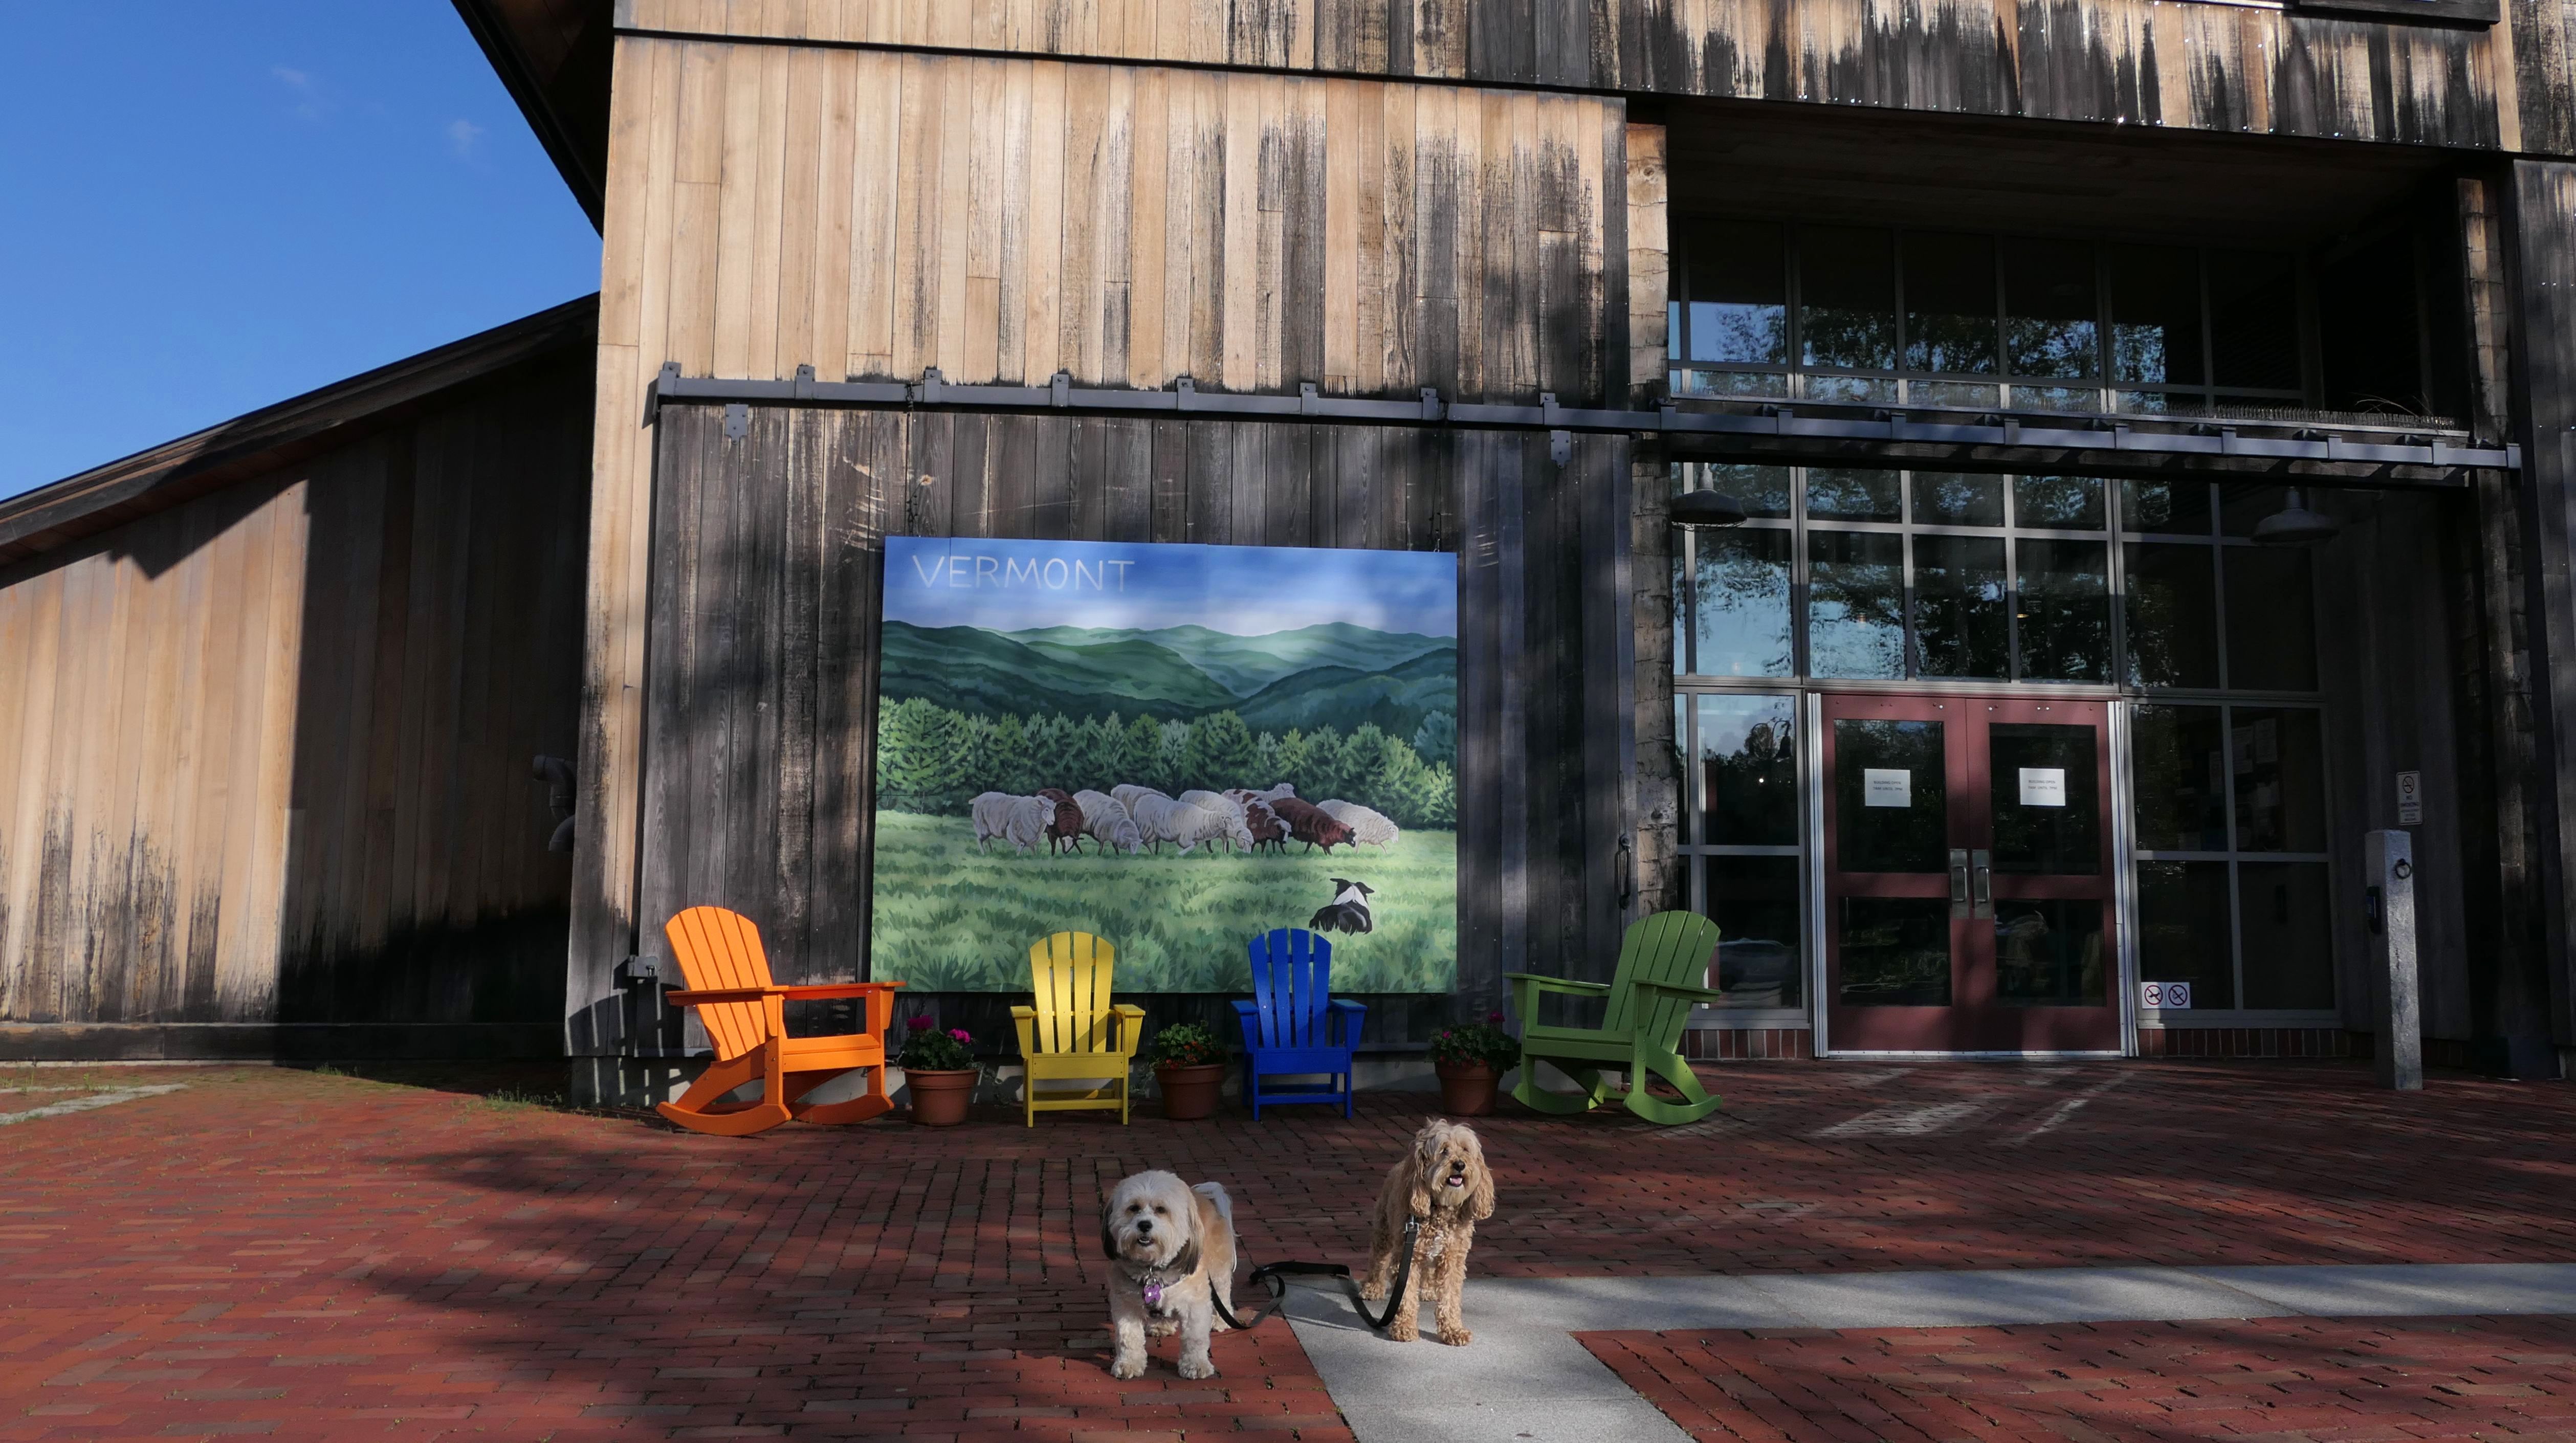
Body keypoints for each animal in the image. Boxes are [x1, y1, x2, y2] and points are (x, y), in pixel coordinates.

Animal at [1074, 789, 1147, 855]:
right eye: (1132, 845)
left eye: (1138, 845)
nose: (1134, 854)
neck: (1119, 824)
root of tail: (1076, 795)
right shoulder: (1102, 833)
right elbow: (1101, 845)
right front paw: (1099, 855)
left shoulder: (1112, 835)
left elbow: (1115, 846)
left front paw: (1118, 855)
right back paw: (1080, 852)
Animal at [1101, 1170, 1238, 1380]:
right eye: (1134, 1208)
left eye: (1161, 1210)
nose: (1144, 1225)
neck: (1153, 1271)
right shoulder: (1125, 1305)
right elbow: (1128, 1337)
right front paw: (1129, 1364)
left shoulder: (1195, 1304)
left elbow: (1195, 1338)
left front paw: (1196, 1365)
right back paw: (1161, 1326)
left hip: (1218, 1272)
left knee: (1223, 1295)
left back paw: (1221, 1320)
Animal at [1268, 796, 1357, 853]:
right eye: (1350, 836)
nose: (1354, 845)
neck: (1329, 827)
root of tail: (1271, 803)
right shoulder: (1321, 839)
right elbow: (1327, 850)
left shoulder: (1316, 838)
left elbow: (1310, 847)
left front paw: (1305, 854)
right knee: (1276, 842)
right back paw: (1281, 853)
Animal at [1317, 800, 1400, 849]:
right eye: (1393, 831)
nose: (1397, 841)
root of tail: (1320, 804)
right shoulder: (1357, 837)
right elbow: (1356, 850)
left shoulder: (1373, 838)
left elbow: (1383, 848)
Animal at [1359, 1118, 1494, 1345]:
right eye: (1444, 1151)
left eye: (1466, 1150)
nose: (1460, 1165)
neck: (1440, 1207)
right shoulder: (1407, 1259)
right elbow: (1405, 1295)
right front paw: (1404, 1328)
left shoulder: (1453, 1258)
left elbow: (1450, 1298)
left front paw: (1453, 1330)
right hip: (1384, 1230)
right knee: (1378, 1259)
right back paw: (1373, 1287)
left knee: (1429, 1271)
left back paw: (1429, 1289)